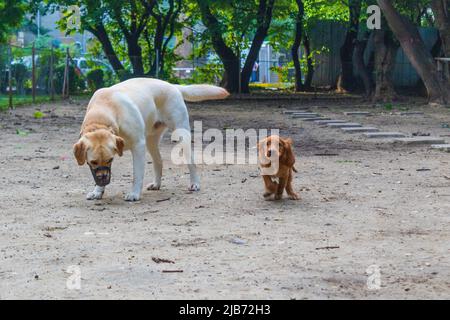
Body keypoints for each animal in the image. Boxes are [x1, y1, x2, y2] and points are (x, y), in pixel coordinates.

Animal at [74, 78, 230, 201]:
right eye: (92, 162)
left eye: (110, 160)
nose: (104, 180)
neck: (104, 113)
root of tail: (172, 85)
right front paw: (97, 192)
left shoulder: (138, 146)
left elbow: (137, 174)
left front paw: (134, 194)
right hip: (151, 141)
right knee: (158, 161)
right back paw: (156, 184)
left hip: (181, 136)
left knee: (192, 163)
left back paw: (195, 183)